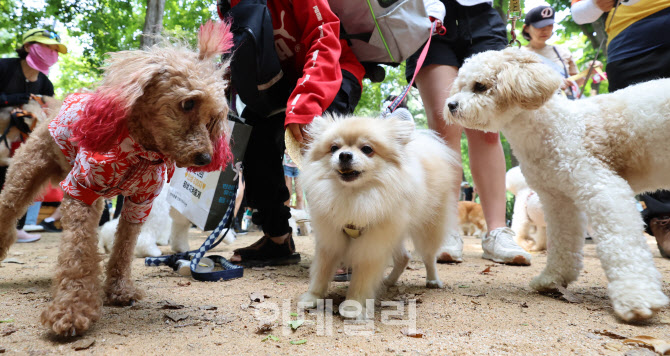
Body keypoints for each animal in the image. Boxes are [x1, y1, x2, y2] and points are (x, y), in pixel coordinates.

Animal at [300, 114, 462, 320]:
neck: (353, 196)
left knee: (429, 256)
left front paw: (353, 305)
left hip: (426, 229)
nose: (344, 155)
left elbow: (362, 279)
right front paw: (312, 298)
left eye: (367, 149)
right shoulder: (330, 241)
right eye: (334, 148)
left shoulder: (371, 246)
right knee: (404, 257)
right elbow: (320, 272)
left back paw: (433, 280)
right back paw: (389, 281)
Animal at [446, 46, 670, 320]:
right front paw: (552, 279)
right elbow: (563, 243)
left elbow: (622, 243)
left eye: (480, 86)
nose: (450, 104)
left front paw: (637, 297)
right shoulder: (559, 201)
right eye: (459, 85)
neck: (556, 128)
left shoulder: (605, 190)